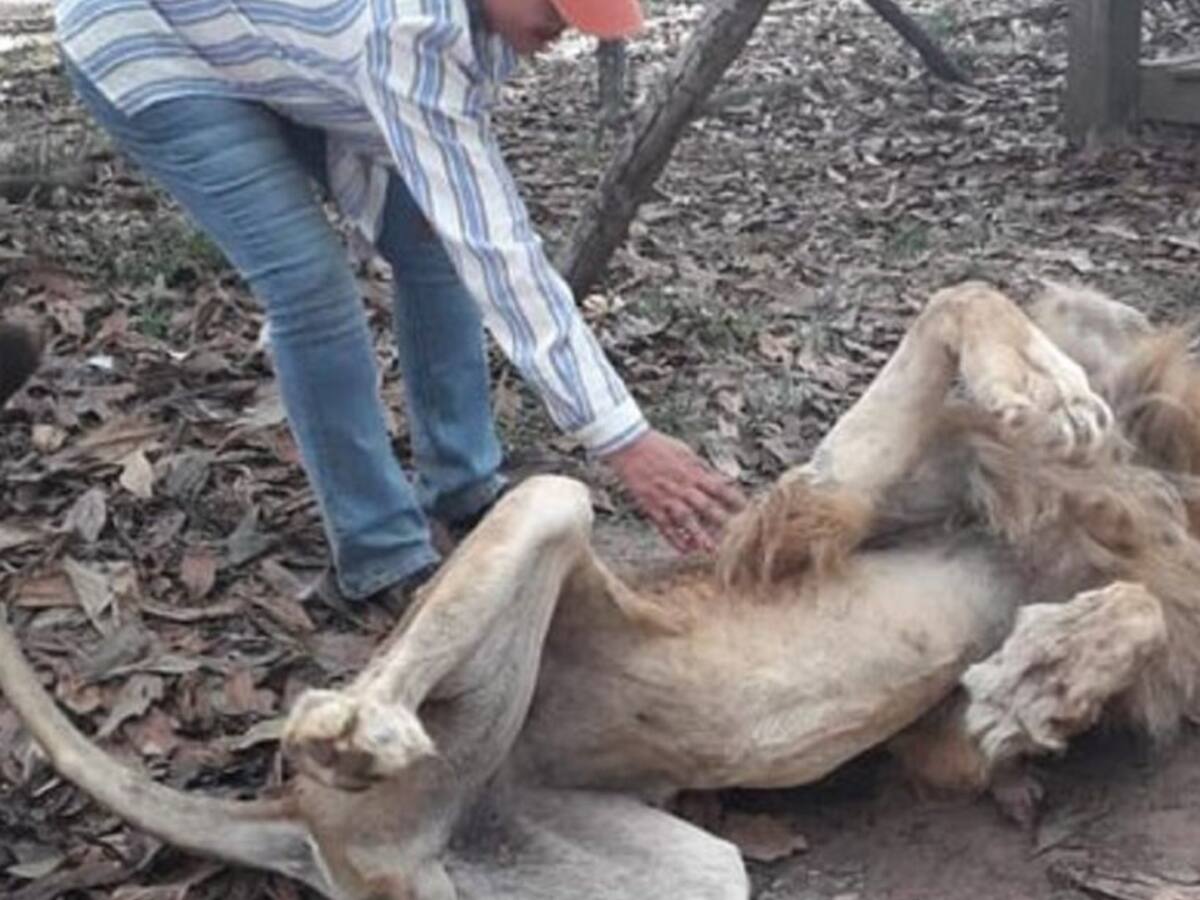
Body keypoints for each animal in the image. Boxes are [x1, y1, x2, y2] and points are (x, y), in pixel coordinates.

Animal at [2, 280, 1200, 900]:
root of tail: (309, 821)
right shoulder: (805, 517)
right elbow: (961, 298)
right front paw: (1048, 392)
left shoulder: (938, 734)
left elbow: (1124, 621)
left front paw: (1041, 683)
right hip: (549, 506)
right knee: (358, 694)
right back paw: (351, 730)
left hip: (686, 874)